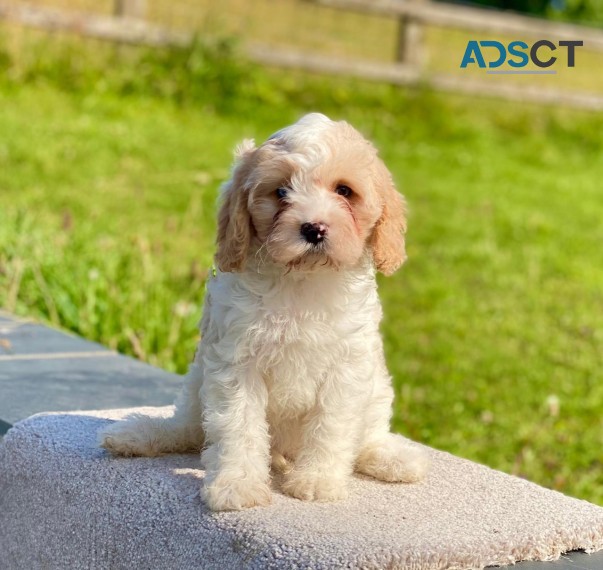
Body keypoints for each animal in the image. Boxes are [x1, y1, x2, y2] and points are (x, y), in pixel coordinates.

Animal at [99, 113, 428, 508]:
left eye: (344, 191)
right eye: (281, 192)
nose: (314, 229)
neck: (300, 281)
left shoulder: (347, 366)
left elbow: (331, 425)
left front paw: (317, 480)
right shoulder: (237, 363)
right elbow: (239, 427)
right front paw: (237, 485)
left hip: (377, 389)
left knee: (368, 437)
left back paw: (393, 459)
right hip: (197, 382)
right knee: (190, 429)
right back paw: (139, 434)